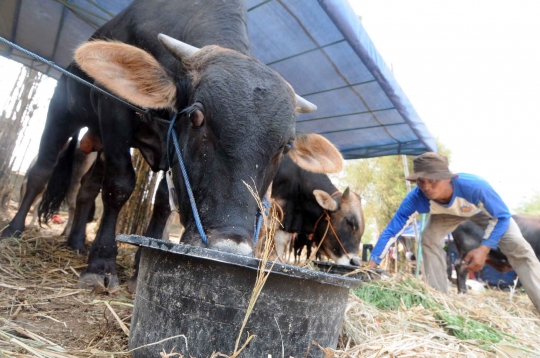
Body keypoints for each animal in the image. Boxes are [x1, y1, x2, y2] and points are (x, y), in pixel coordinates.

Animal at [1, 0, 342, 290]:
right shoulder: (113, 112)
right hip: (62, 111)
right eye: (196, 117)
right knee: (41, 171)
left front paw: (139, 270)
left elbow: (163, 203)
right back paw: (14, 230)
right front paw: (101, 265)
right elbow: (119, 186)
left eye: (285, 147)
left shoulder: (167, 151)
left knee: (86, 188)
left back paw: (75, 242)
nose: (228, 246)